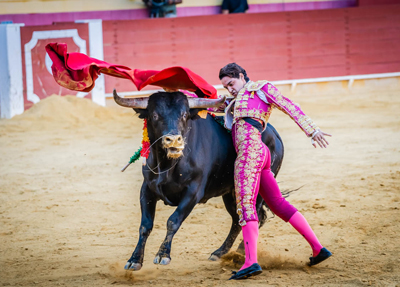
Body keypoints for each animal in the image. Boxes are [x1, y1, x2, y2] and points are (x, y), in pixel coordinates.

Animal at [113, 90, 284, 272]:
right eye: (154, 115)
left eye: (184, 115)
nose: (174, 140)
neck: (169, 165)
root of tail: (275, 135)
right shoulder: (147, 190)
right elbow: (145, 225)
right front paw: (135, 259)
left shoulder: (193, 192)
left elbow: (173, 220)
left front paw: (163, 255)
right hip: (230, 193)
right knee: (238, 221)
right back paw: (220, 252)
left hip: (256, 191)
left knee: (254, 216)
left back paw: (240, 254)